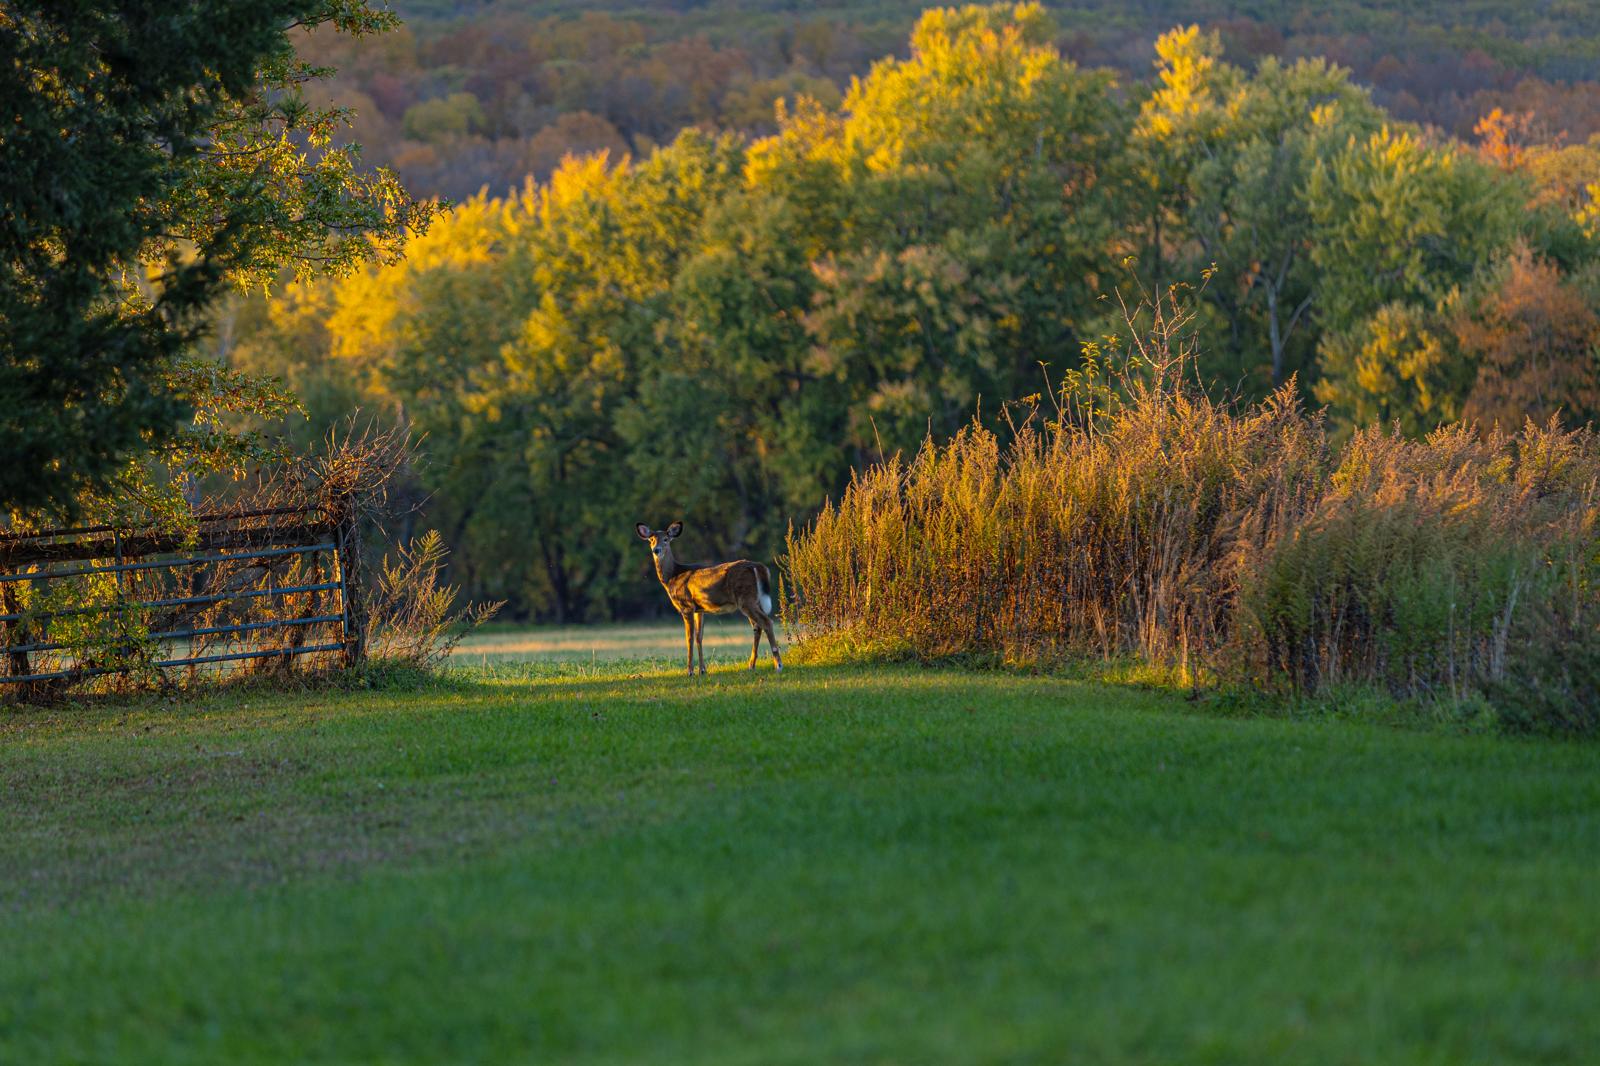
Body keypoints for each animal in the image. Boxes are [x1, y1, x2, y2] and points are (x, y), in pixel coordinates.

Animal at [636, 518, 787, 675]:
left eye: (666, 539)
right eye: (651, 539)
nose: (656, 550)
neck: (673, 576)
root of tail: (758, 566)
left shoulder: (686, 606)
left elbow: (689, 638)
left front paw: (690, 671)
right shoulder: (699, 609)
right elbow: (699, 637)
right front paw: (702, 670)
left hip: (746, 599)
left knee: (766, 622)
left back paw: (778, 665)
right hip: (754, 600)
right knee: (757, 626)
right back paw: (751, 665)